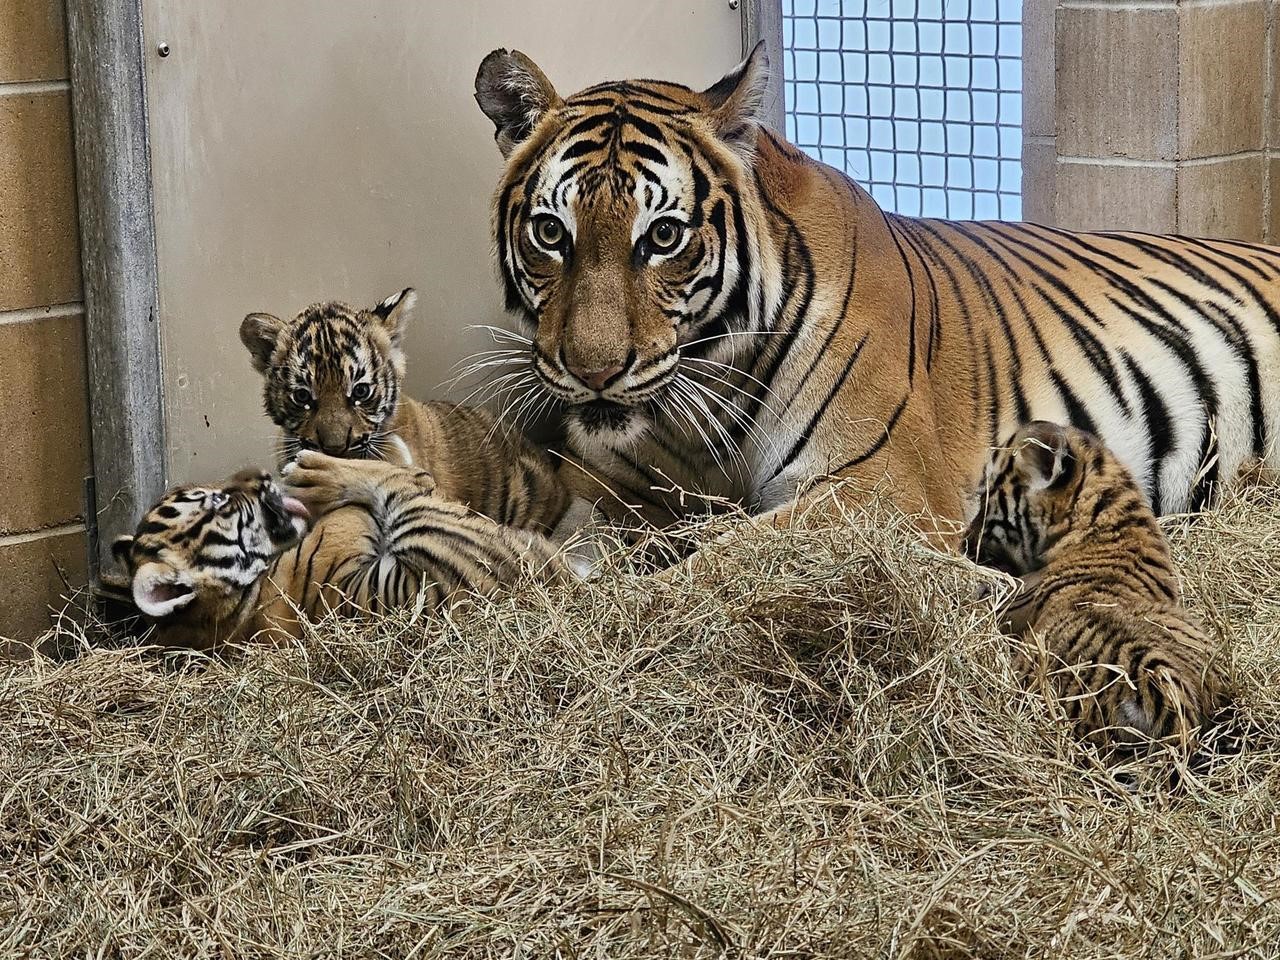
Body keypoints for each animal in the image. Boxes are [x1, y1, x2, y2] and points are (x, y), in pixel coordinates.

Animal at [471, 43, 1280, 543]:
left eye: (663, 237)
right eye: (551, 232)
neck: (702, 409)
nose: (592, 372)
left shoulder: (875, 489)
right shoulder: (603, 478)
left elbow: (716, 563)